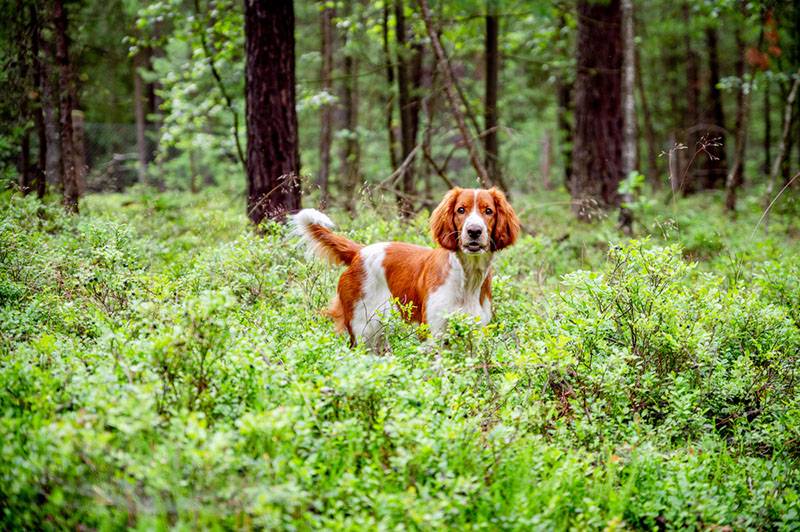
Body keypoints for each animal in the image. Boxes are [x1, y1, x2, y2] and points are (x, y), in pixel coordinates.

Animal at [292, 188, 520, 350]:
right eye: (461, 210)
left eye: (488, 211)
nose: (474, 231)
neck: (466, 279)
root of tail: (359, 251)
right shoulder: (433, 333)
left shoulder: (475, 333)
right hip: (362, 328)